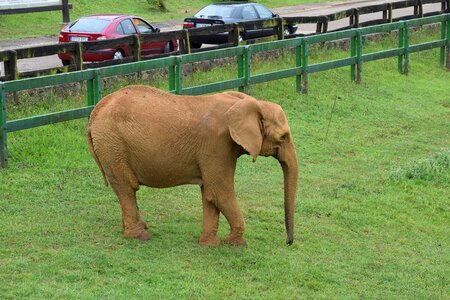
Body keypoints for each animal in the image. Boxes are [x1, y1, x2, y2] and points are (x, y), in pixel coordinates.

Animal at [86, 85, 298, 246]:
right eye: (283, 136)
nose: (288, 242)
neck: (248, 102)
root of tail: (94, 113)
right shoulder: (217, 145)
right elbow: (219, 192)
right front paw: (235, 244)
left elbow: (209, 193)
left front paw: (210, 244)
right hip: (113, 145)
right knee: (127, 187)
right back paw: (140, 236)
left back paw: (139, 227)